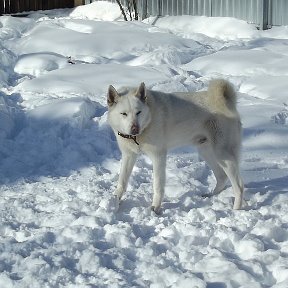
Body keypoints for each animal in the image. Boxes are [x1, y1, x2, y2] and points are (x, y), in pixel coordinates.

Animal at [107, 80, 244, 213]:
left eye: (138, 112)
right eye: (124, 114)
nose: (135, 128)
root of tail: (226, 101)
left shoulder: (158, 156)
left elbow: (157, 185)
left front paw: (155, 207)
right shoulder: (129, 155)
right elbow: (122, 182)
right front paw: (115, 200)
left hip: (222, 154)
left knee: (239, 186)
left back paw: (236, 210)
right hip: (207, 152)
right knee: (222, 177)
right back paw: (210, 195)